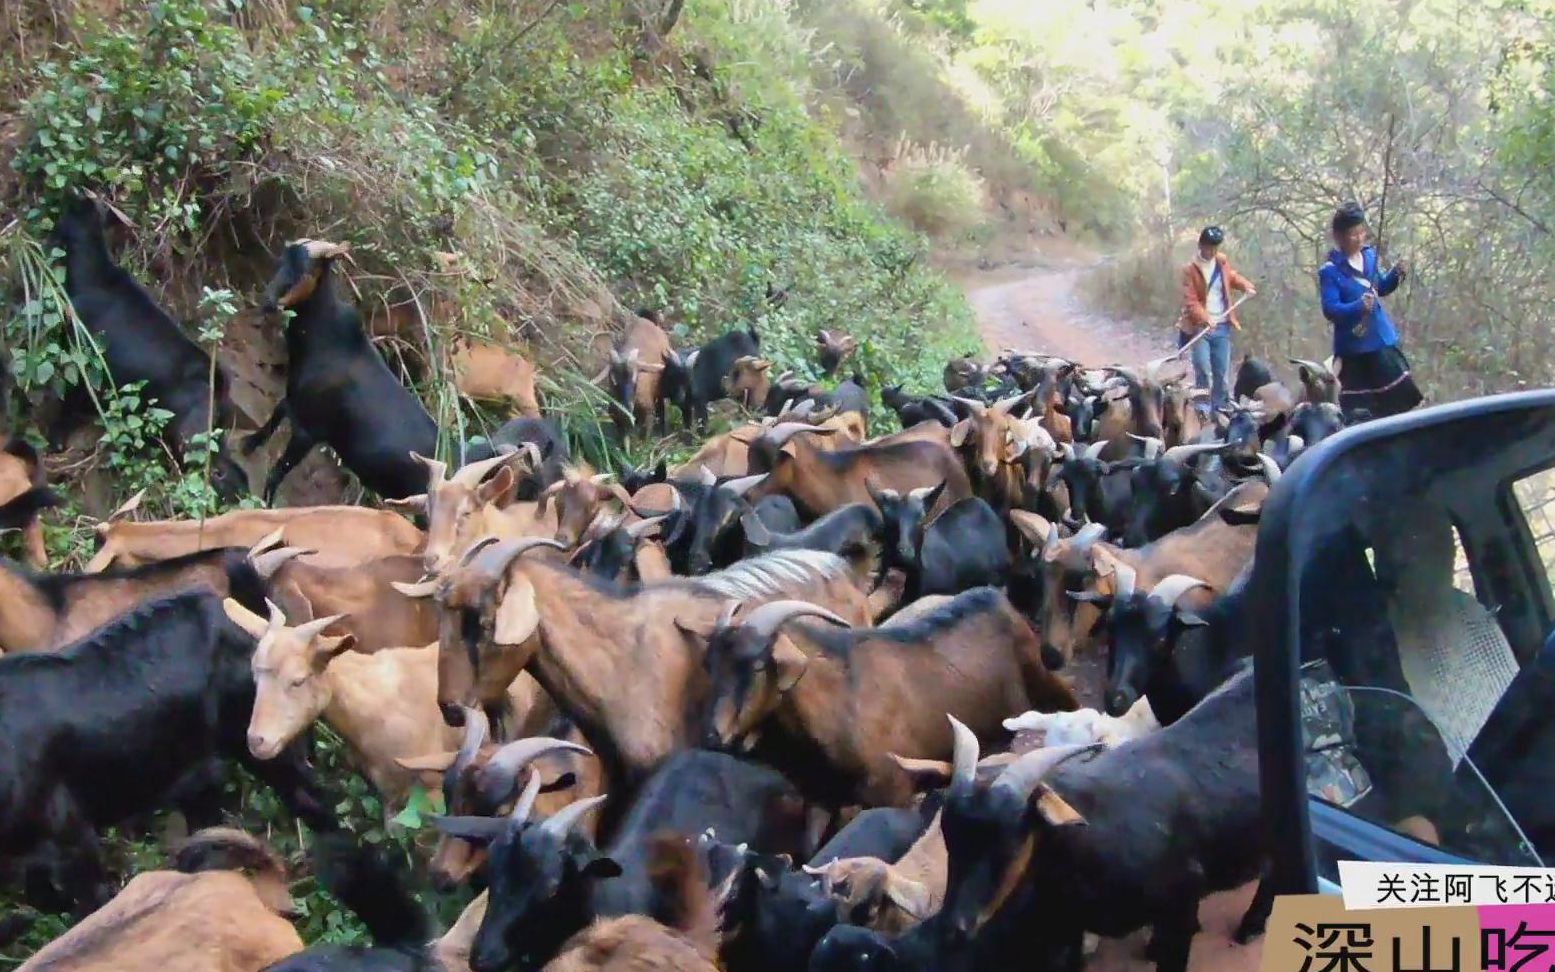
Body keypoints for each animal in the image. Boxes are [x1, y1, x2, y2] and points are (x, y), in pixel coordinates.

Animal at [49, 195, 245, 500]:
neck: (90, 271)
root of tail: (217, 383)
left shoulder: (81, 364)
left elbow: (65, 406)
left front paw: (55, 440)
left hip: (190, 436)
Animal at [242, 239, 438, 503]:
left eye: (305, 270)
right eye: (280, 262)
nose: (268, 301)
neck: (327, 341)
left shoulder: (309, 431)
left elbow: (276, 473)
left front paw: (263, 504)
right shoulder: (295, 400)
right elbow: (274, 416)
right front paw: (248, 444)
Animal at [699, 590, 1076, 802]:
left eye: (757, 665)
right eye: (710, 664)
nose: (713, 735)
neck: (839, 697)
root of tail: (999, 600)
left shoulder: (893, 787)